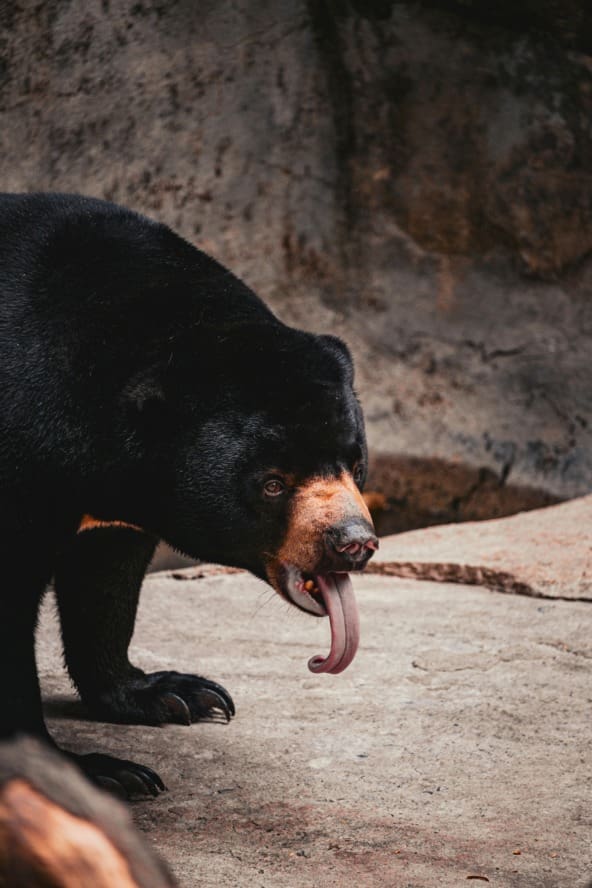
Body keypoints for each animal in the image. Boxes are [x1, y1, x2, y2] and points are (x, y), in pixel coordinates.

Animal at [0, 193, 378, 796]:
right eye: (272, 483)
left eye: (355, 464)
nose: (352, 544)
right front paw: (95, 771)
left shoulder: (112, 494)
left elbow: (105, 577)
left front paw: (176, 694)